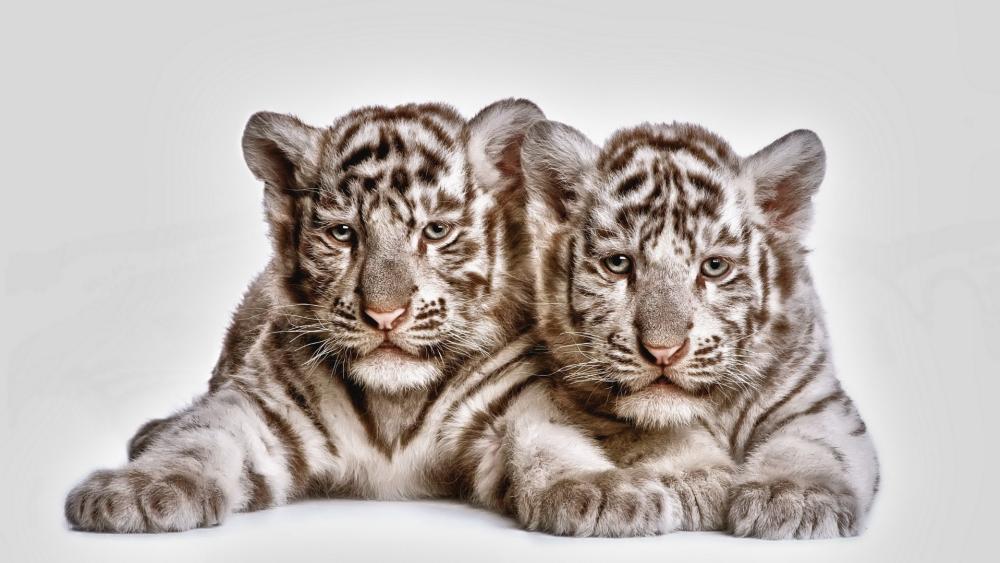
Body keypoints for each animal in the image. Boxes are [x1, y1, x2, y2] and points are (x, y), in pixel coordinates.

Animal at [63, 99, 554, 532]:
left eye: (435, 231)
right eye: (342, 233)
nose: (385, 315)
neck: (394, 404)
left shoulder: (513, 398)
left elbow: (544, 437)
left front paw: (574, 491)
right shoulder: (262, 407)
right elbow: (199, 438)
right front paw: (132, 492)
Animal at [460, 119, 880, 538]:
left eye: (714, 267)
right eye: (618, 263)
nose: (663, 350)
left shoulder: (819, 399)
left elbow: (816, 443)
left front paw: (796, 496)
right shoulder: (585, 404)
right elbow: (652, 434)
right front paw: (694, 479)